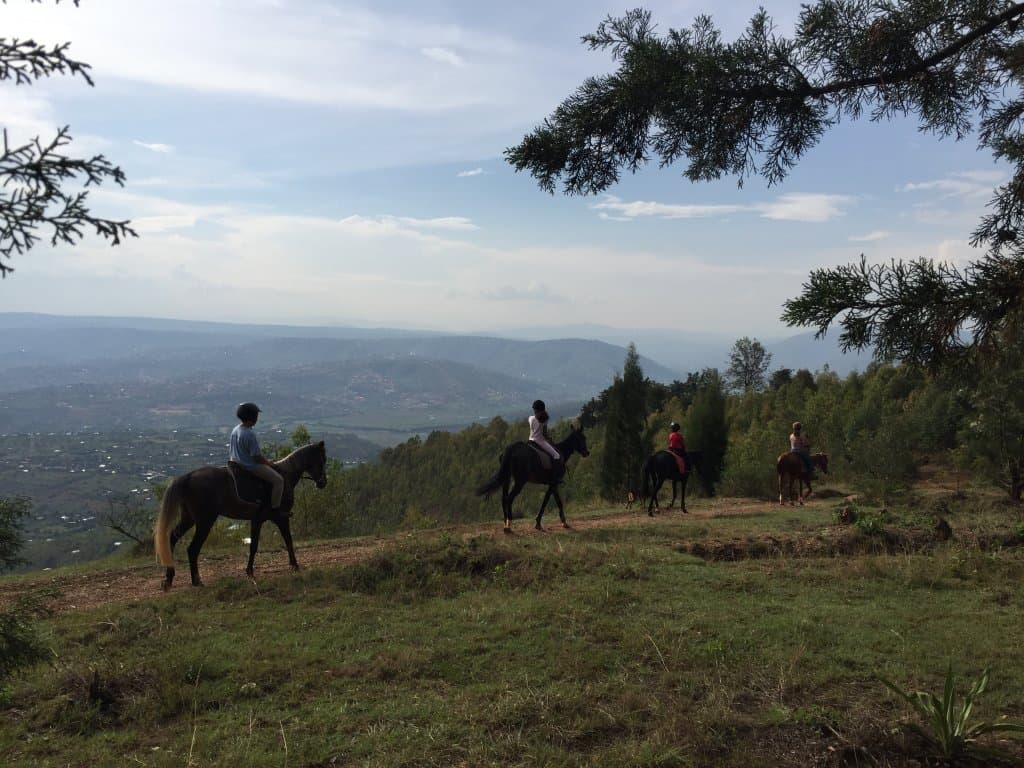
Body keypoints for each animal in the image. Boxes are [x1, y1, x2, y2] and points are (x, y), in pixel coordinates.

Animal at [154, 441, 328, 590]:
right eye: (322, 460)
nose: (323, 483)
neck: (285, 475)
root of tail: (188, 477)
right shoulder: (281, 518)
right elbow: (289, 541)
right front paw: (295, 566)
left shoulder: (257, 520)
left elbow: (253, 546)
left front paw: (249, 571)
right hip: (205, 521)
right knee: (192, 549)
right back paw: (196, 581)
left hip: (189, 518)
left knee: (172, 539)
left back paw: (169, 579)